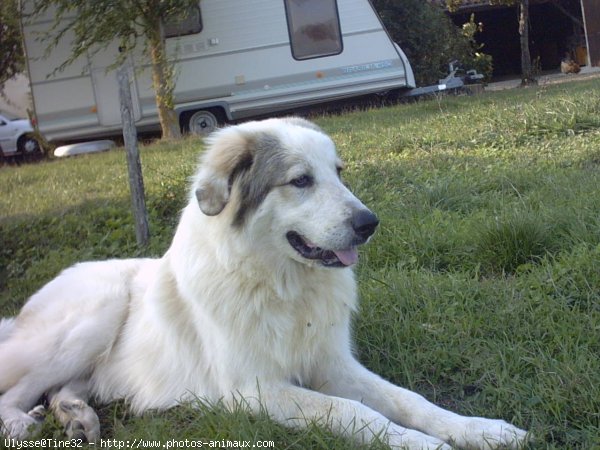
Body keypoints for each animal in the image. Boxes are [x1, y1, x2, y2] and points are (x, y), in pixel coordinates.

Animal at [0, 118, 524, 448]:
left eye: (338, 173)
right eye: (300, 180)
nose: (369, 223)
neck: (281, 284)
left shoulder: (333, 364)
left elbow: (408, 399)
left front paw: (481, 429)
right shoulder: (253, 389)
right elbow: (353, 413)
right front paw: (422, 444)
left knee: (62, 389)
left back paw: (77, 418)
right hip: (94, 316)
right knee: (17, 391)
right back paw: (24, 424)